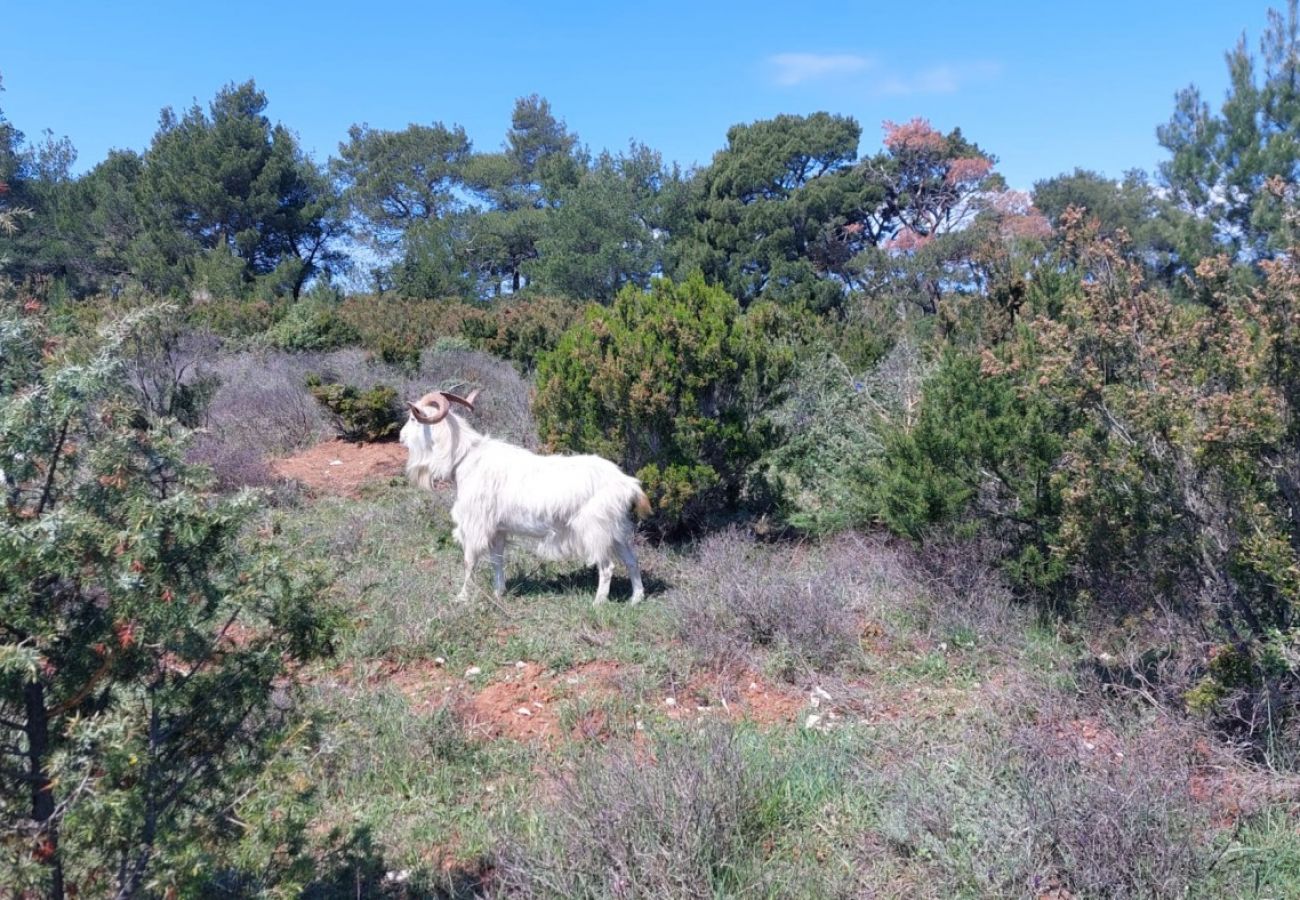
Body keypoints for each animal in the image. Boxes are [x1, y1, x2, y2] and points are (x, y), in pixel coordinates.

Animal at [400, 387, 650, 603]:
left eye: (413, 418)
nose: (401, 437)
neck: (466, 456)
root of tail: (628, 484)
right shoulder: (498, 530)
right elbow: (497, 561)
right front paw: (499, 592)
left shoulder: (476, 524)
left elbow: (469, 561)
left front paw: (462, 597)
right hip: (616, 530)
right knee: (631, 560)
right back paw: (635, 599)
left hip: (596, 530)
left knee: (607, 567)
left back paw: (598, 603)